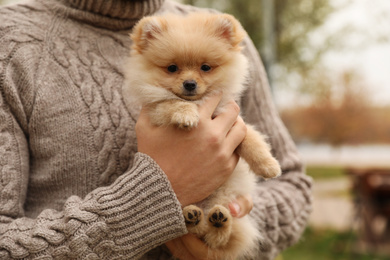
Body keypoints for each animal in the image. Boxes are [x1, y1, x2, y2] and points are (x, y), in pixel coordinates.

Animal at [122, 12, 280, 260]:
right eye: (172, 68)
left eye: (206, 67)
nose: (189, 83)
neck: (198, 102)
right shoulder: (157, 110)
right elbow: (171, 102)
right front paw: (186, 115)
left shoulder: (234, 123)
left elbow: (252, 140)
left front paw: (268, 165)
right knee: (202, 233)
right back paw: (194, 217)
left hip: (223, 198)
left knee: (215, 237)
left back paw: (217, 220)